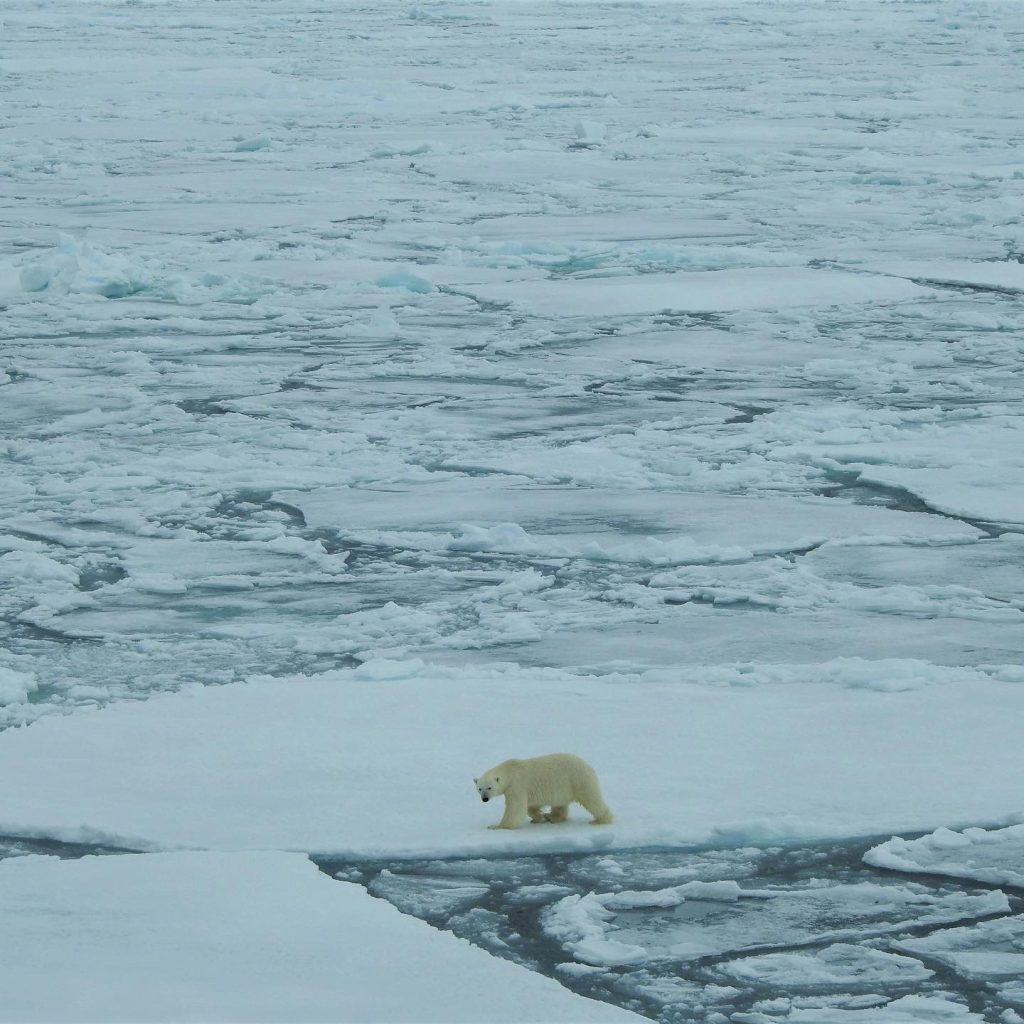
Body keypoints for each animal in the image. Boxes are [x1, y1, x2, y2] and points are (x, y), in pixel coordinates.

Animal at [474, 753, 613, 830]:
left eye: (489, 787)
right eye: (479, 789)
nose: (484, 799)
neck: (509, 772)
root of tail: (588, 765)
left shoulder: (516, 785)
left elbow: (515, 808)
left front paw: (497, 826)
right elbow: (530, 807)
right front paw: (538, 818)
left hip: (579, 780)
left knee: (592, 799)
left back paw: (601, 820)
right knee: (560, 804)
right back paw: (552, 817)